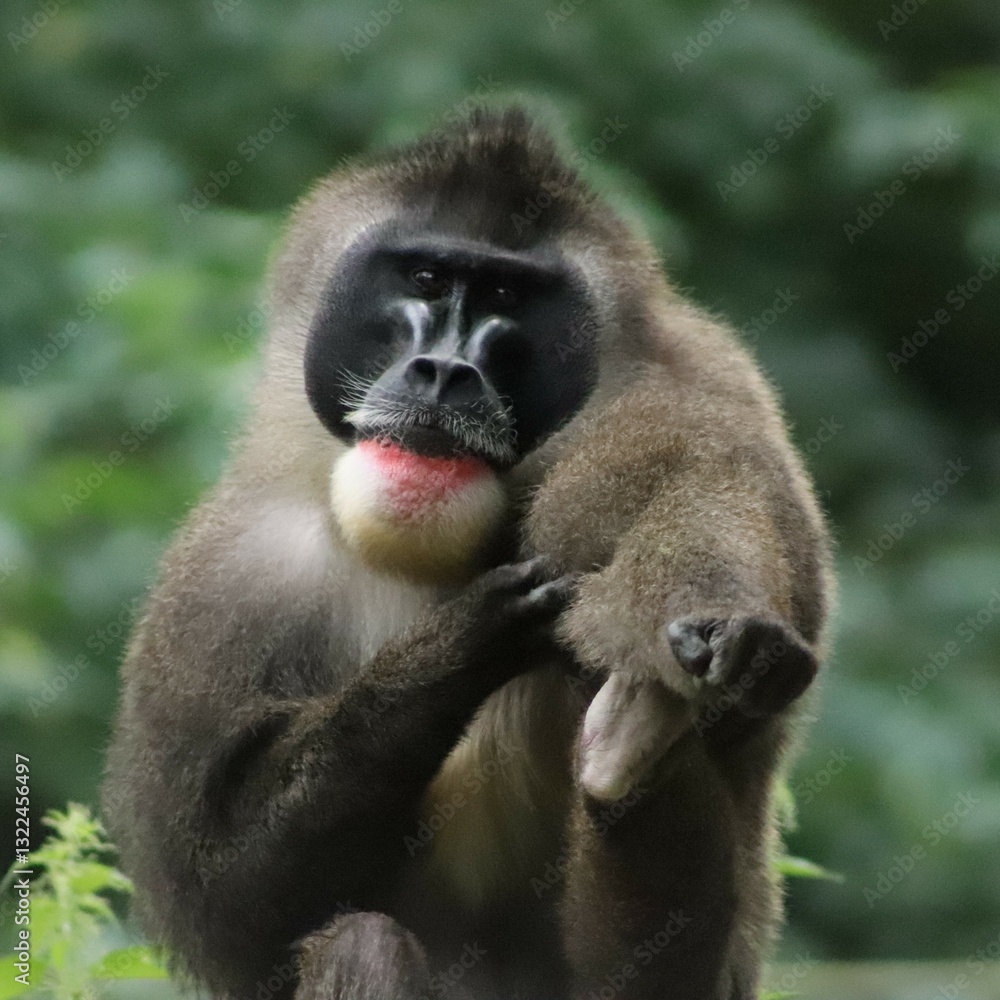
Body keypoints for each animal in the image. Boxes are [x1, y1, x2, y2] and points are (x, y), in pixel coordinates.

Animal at [102, 106, 833, 1000]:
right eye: (423, 279)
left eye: (505, 296)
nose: (445, 370)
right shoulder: (235, 572)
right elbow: (230, 900)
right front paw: (471, 637)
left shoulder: (682, 404)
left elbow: (699, 491)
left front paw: (720, 635)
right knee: (364, 942)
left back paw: (632, 747)